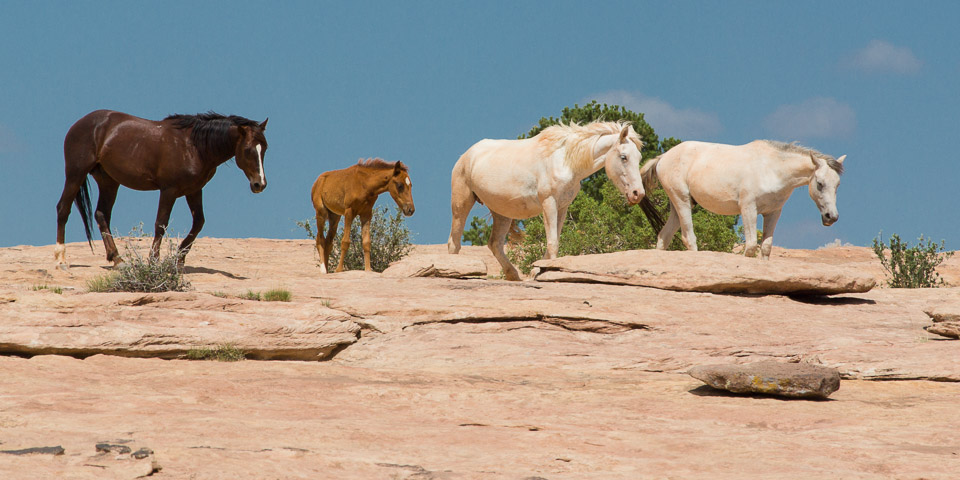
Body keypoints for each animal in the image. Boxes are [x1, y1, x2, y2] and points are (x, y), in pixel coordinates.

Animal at [55, 110, 269, 269]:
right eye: (248, 150)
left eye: (264, 148)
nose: (259, 184)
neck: (194, 146)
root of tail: (80, 124)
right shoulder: (169, 190)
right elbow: (161, 224)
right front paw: (154, 260)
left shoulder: (194, 190)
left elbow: (198, 223)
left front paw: (179, 259)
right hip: (76, 174)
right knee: (63, 209)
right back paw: (61, 260)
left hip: (109, 182)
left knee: (101, 215)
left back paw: (117, 259)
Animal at [448, 121, 646, 281]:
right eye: (624, 157)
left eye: (639, 158)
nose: (638, 193)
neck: (565, 161)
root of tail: (466, 155)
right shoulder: (549, 203)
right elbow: (552, 243)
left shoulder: (562, 207)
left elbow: (553, 242)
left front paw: (538, 272)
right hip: (461, 204)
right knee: (454, 243)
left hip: (502, 213)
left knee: (495, 244)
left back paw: (514, 276)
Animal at [638, 140, 845, 260]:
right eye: (820, 184)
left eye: (837, 185)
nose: (832, 217)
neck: (772, 169)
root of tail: (663, 157)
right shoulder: (748, 209)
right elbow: (751, 246)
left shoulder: (773, 213)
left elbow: (766, 247)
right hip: (681, 201)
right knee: (689, 238)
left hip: (678, 205)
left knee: (663, 237)